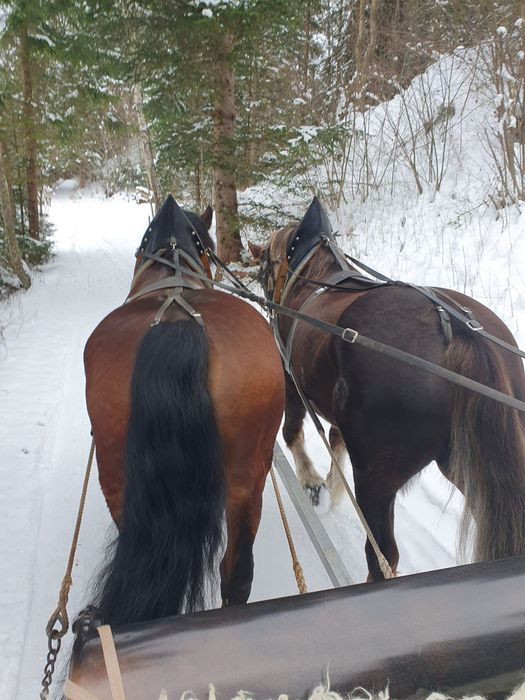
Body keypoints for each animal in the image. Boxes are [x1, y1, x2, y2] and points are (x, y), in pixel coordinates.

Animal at [249, 196, 524, 580]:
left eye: (264, 268)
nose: (265, 296)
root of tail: (456, 330)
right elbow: (336, 439)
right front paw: (333, 485)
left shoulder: (290, 377)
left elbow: (292, 432)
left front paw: (313, 483)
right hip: (466, 461)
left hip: (376, 481)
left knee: (382, 556)